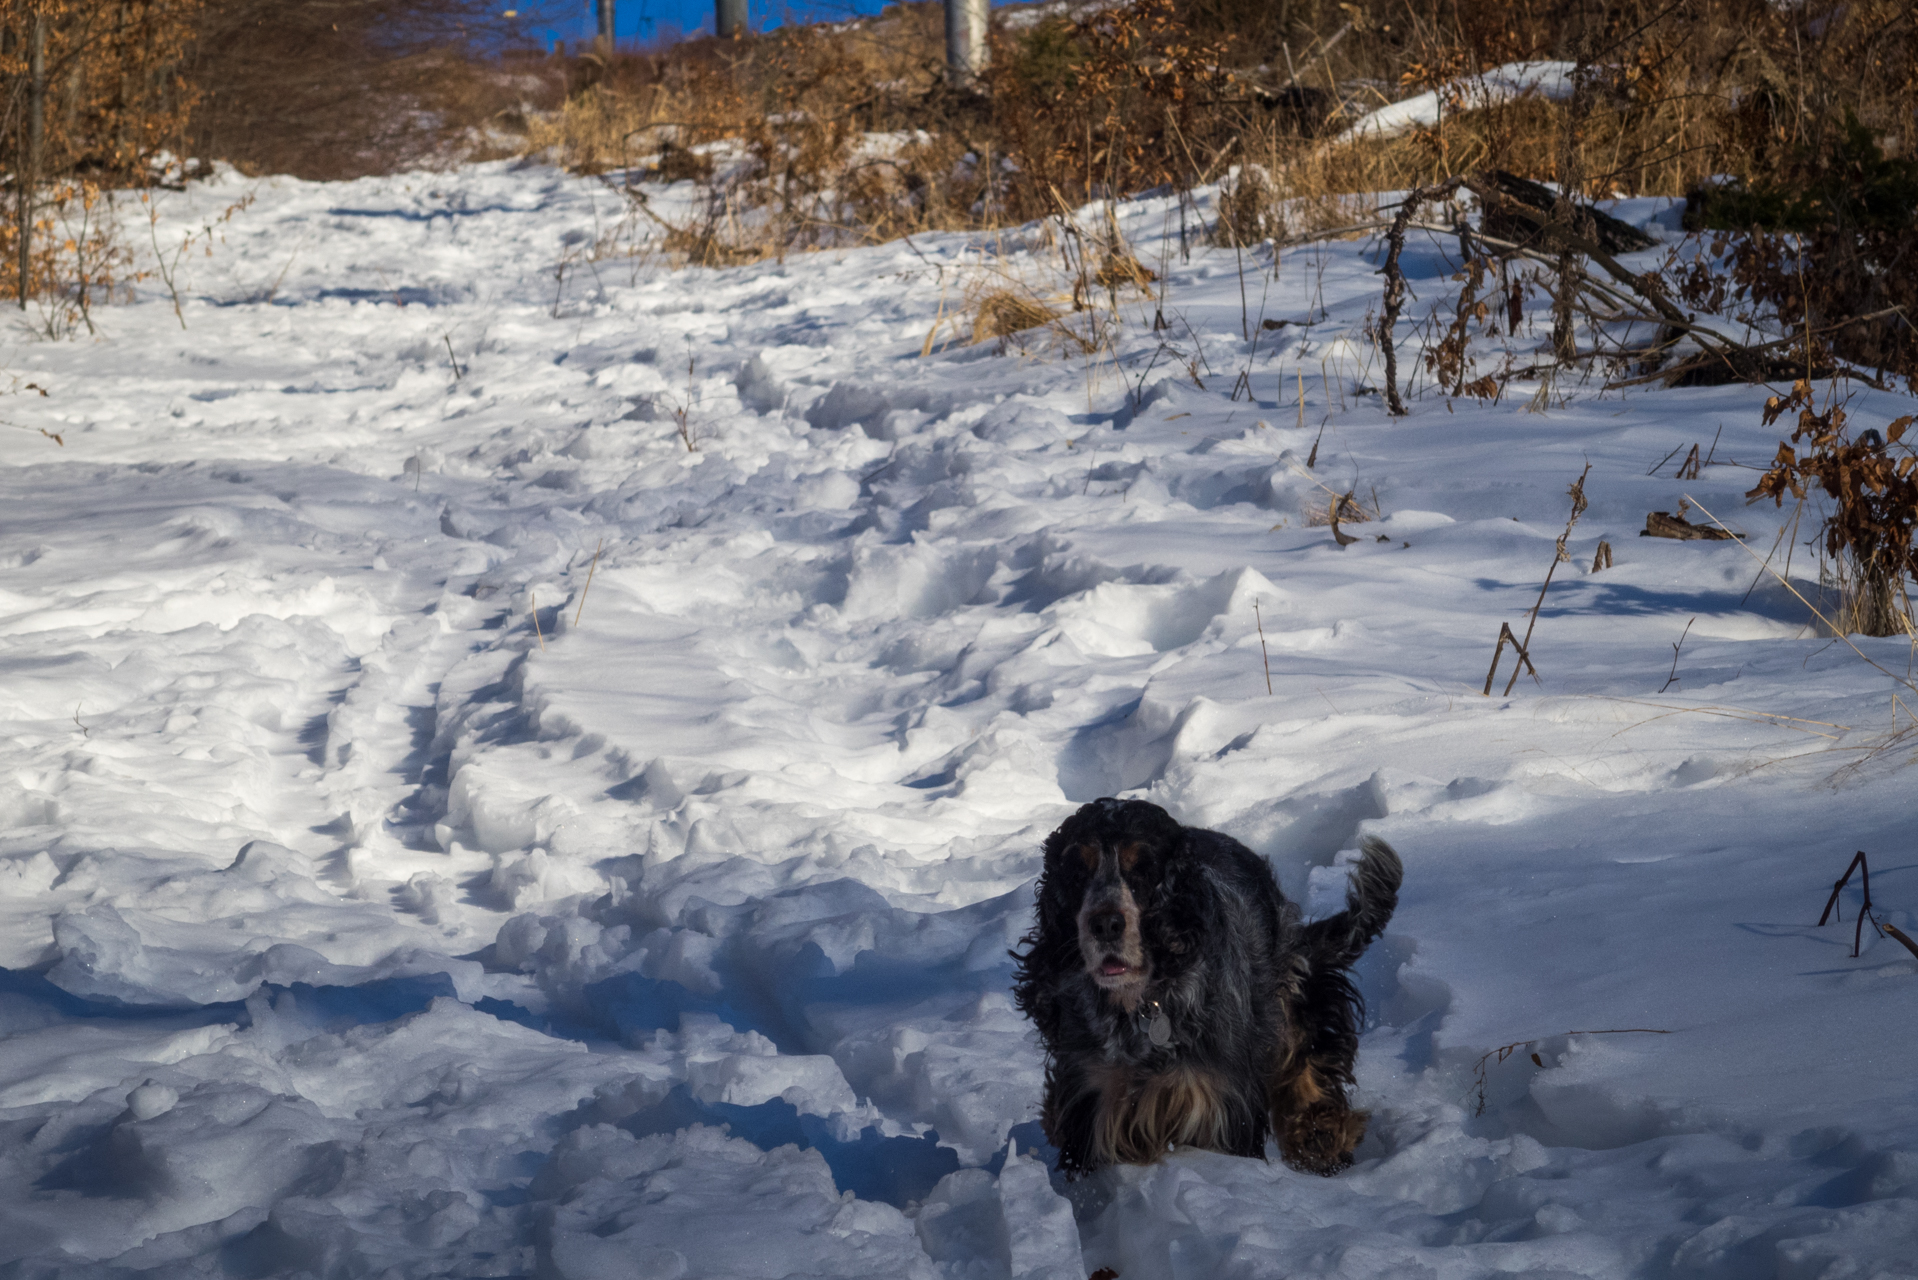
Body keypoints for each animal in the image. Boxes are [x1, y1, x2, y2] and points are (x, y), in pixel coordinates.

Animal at [1012, 802, 1403, 1182]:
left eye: (1144, 869)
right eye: (1077, 872)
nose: (1105, 924)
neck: (1141, 1009)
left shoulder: (1216, 1103)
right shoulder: (1092, 1097)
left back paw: (1321, 1140)